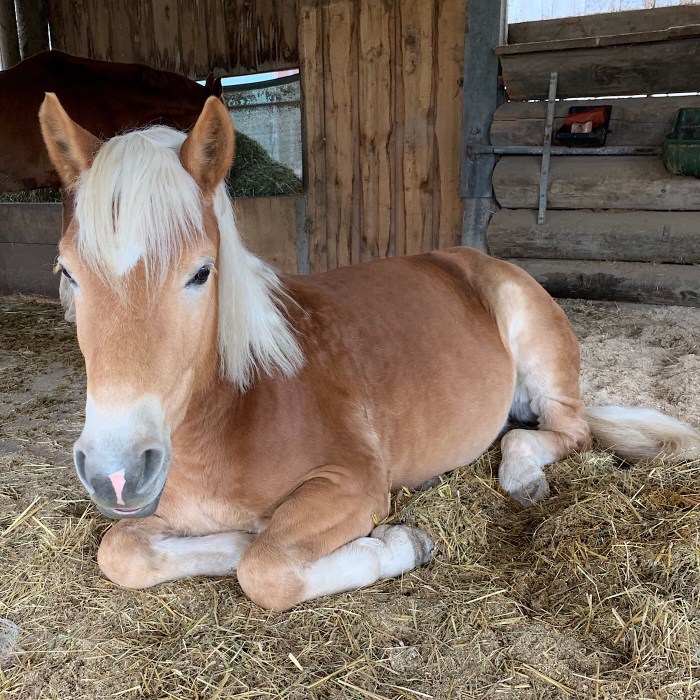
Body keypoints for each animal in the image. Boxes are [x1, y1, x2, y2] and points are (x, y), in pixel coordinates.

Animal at [39, 92, 700, 611]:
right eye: (68, 273)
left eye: (202, 272)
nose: (117, 472)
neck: (236, 413)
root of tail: (472, 260)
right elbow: (121, 551)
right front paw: (230, 542)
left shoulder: (351, 484)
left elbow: (266, 567)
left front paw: (399, 544)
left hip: (537, 347)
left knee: (565, 431)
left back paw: (523, 478)